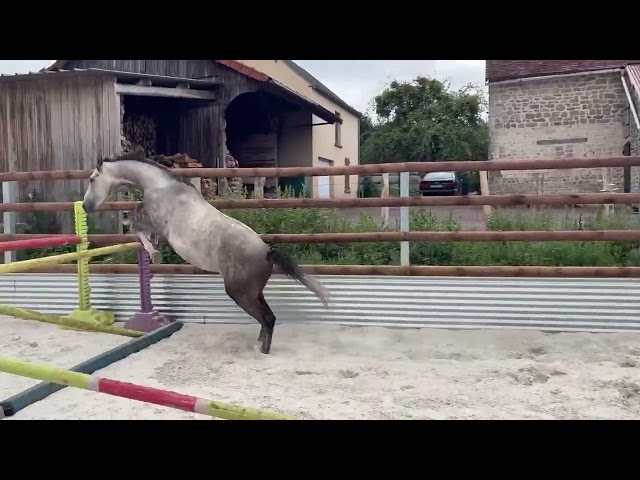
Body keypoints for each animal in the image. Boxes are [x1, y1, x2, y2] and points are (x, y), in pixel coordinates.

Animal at [81, 151, 331, 354]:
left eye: (92, 179)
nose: (85, 206)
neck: (160, 186)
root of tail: (267, 252)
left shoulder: (155, 224)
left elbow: (136, 223)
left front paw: (154, 253)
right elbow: (137, 222)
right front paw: (153, 251)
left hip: (240, 293)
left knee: (268, 318)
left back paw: (264, 350)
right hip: (254, 292)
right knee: (267, 316)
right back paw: (259, 342)